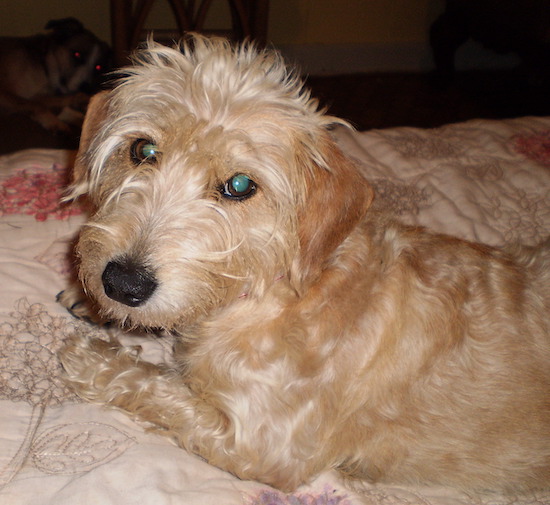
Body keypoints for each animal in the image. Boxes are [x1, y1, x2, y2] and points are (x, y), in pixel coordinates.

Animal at [58, 36, 548, 492]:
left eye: (240, 185)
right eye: (143, 149)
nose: (122, 284)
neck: (270, 287)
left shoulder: (264, 445)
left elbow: (154, 385)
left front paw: (90, 356)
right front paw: (89, 302)